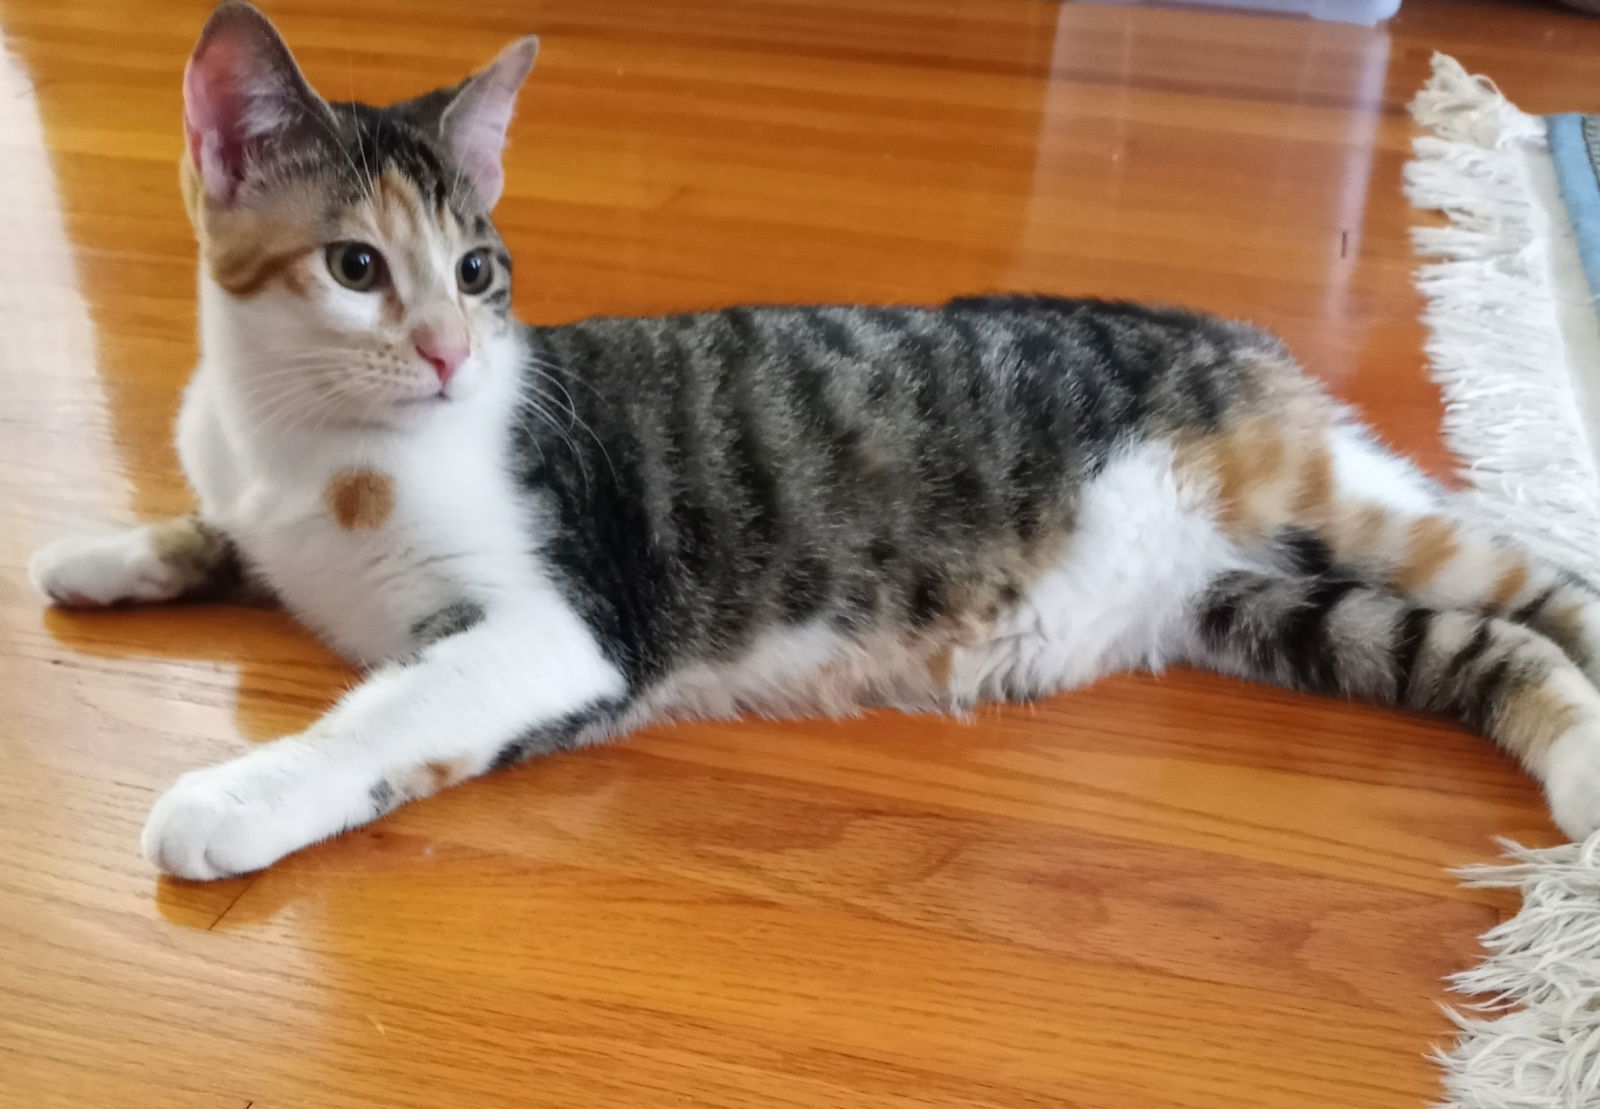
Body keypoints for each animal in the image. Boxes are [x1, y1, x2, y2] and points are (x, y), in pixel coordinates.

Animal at [28, 2, 1600, 883]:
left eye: (477, 271)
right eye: (356, 267)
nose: (448, 352)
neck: (304, 441)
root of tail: (1225, 327)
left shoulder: (563, 632)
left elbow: (383, 718)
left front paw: (233, 796)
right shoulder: (254, 490)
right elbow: (218, 529)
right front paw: (103, 554)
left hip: (1337, 493)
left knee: (1545, 588)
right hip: (1253, 604)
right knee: (1478, 644)